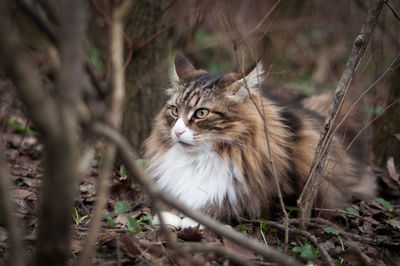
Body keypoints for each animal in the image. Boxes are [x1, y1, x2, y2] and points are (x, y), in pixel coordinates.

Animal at [144, 54, 376, 229]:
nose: (177, 131)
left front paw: (193, 219)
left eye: (201, 113)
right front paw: (169, 216)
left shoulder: (272, 198)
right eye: (175, 111)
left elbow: (221, 205)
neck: (200, 160)